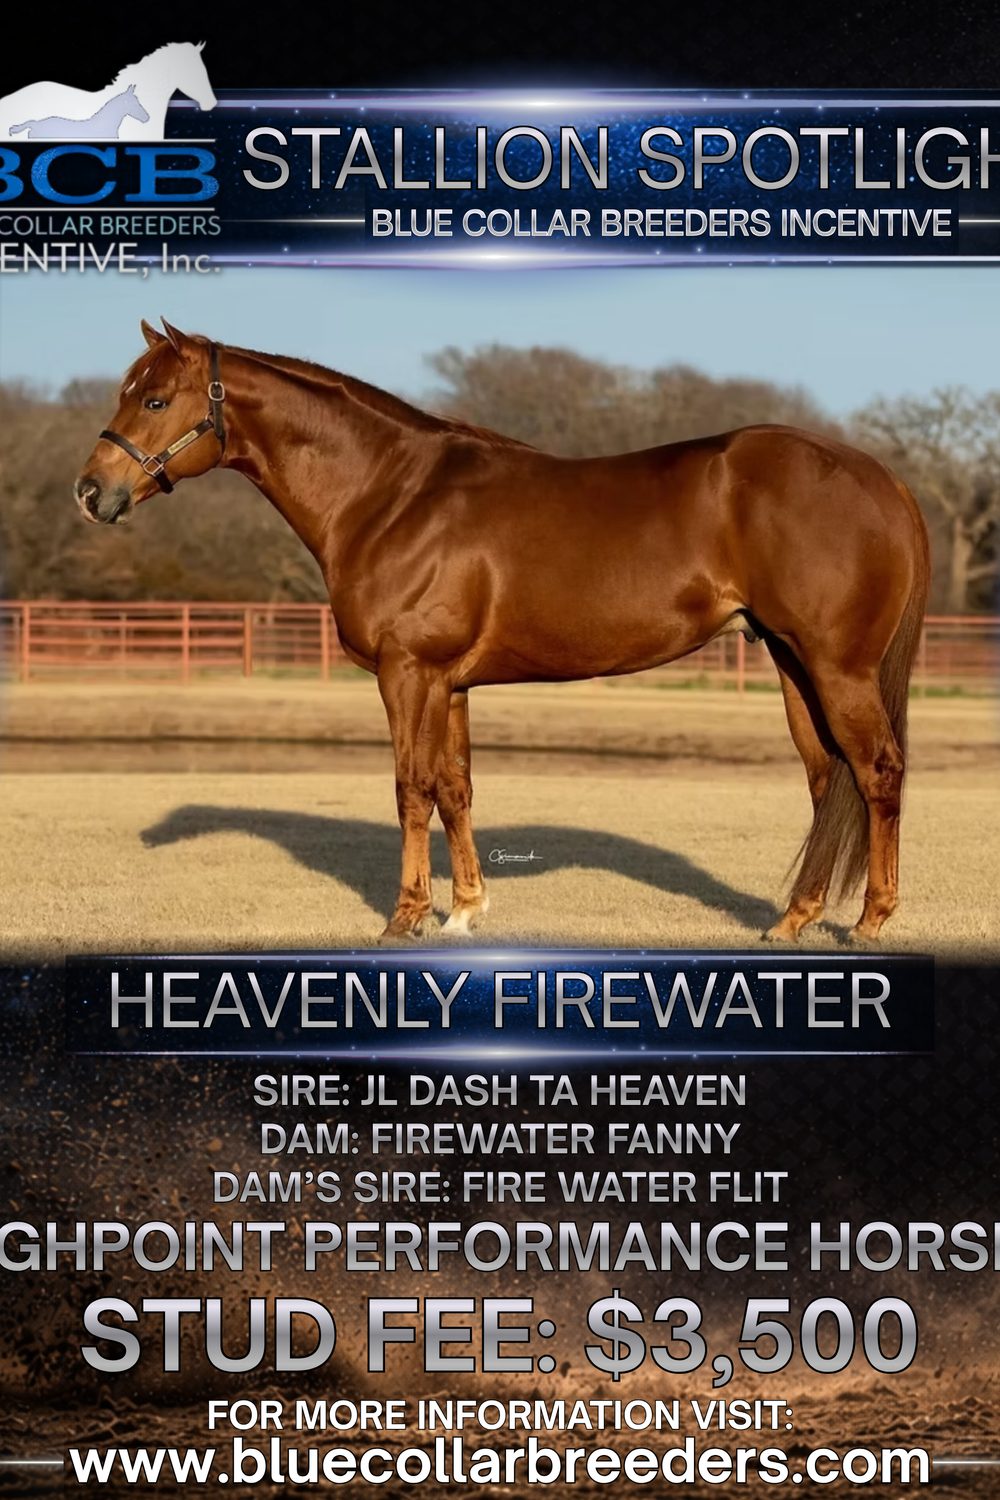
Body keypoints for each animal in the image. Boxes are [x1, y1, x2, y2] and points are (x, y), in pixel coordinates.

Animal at [75, 320, 931, 946]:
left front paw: (405, 917)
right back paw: (792, 921)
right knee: (827, 779)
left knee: (877, 771)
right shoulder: (450, 682)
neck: (391, 494)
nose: (90, 493)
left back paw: (870, 921)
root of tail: (880, 478)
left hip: (836, 667)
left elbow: (410, 789)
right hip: (792, 665)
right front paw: (464, 909)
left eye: (156, 401)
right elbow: (455, 788)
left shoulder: (408, 672)